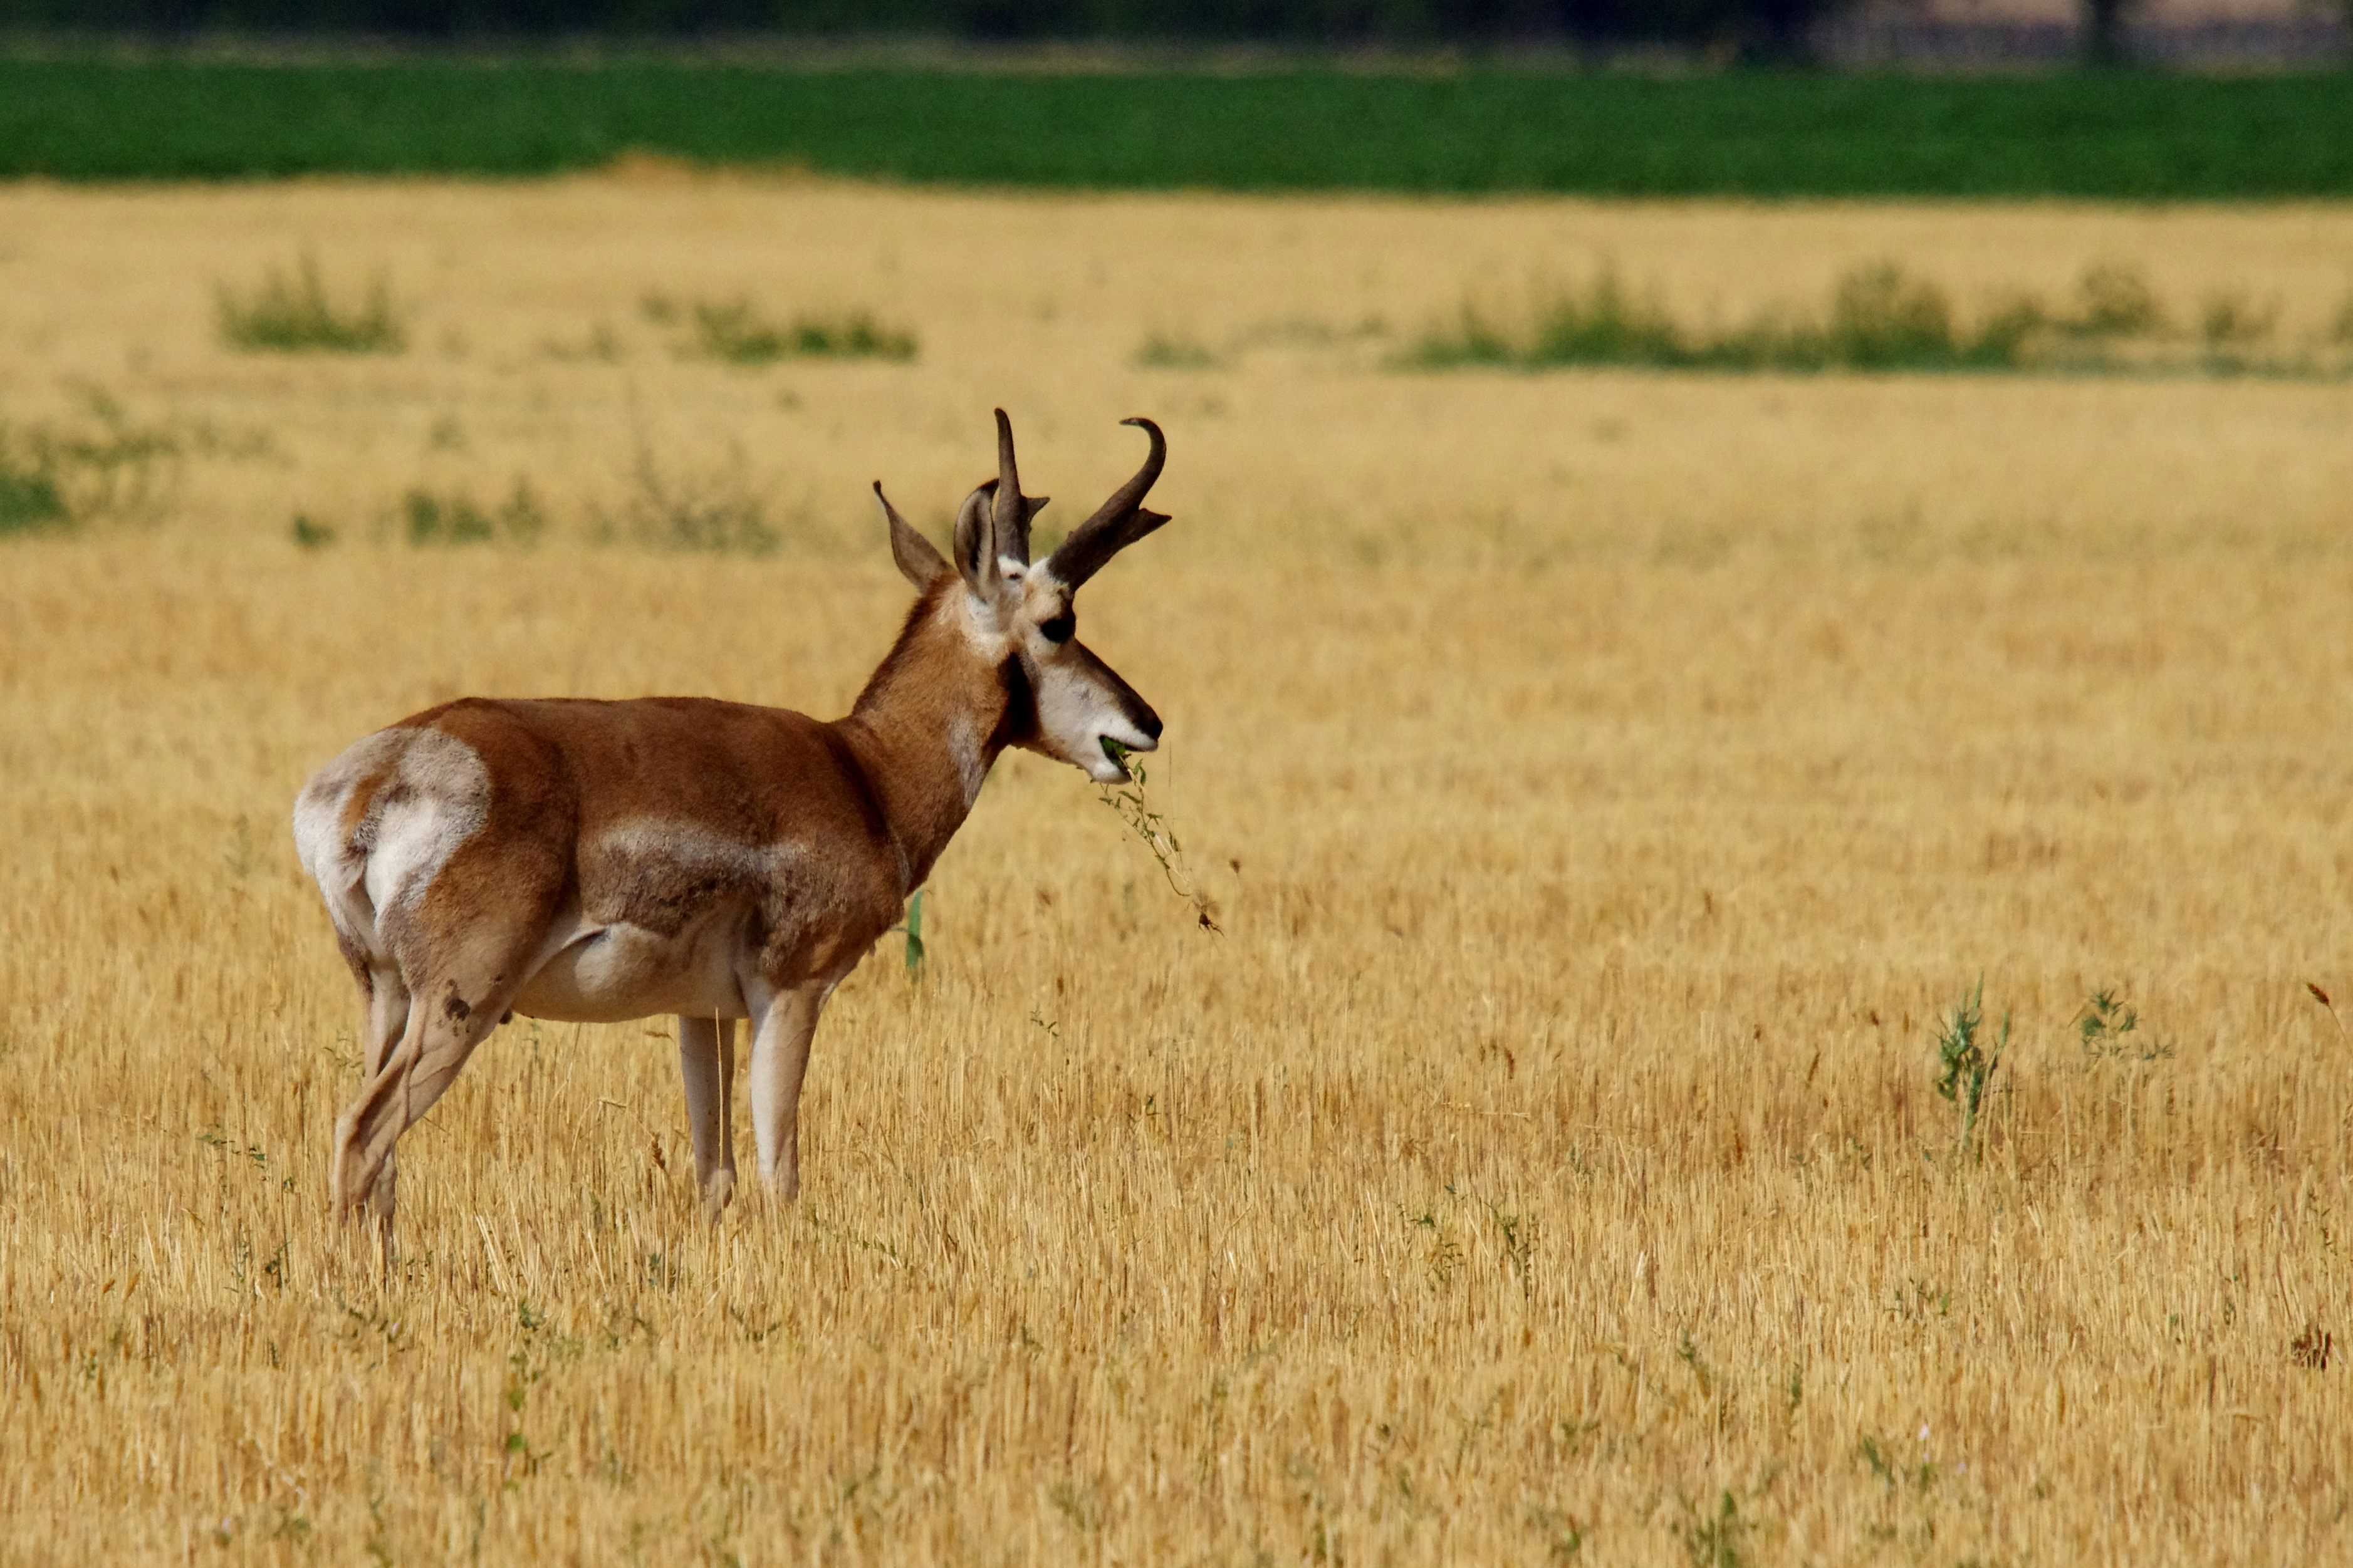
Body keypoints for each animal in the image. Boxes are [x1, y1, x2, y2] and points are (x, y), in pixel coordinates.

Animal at [294, 411, 1176, 1260]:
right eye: (1058, 621)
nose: (1148, 721)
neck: (864, 769)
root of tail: (371, 778)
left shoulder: (703, 1015)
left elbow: (712, 1175)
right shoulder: (790, 992)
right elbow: (777, 1173)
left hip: (387, 999)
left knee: (380, 1157)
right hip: (460, 1003)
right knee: (362, 1133)